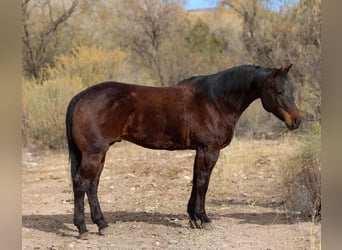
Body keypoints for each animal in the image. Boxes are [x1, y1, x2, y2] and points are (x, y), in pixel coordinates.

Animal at [66, 63, 300, 238]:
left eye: (291, 90)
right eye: (279, 91)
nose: (296, 120)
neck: (215, 101)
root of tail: (81, 96)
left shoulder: (200, 150)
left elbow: (196, 181)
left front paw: (193, 218)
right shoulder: (209, 150)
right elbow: (203, 183)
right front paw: (204, 219)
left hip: (99, 154)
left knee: (92, 185)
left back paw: (102, 224)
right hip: (94, 153)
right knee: (81, 183)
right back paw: (83, 228)